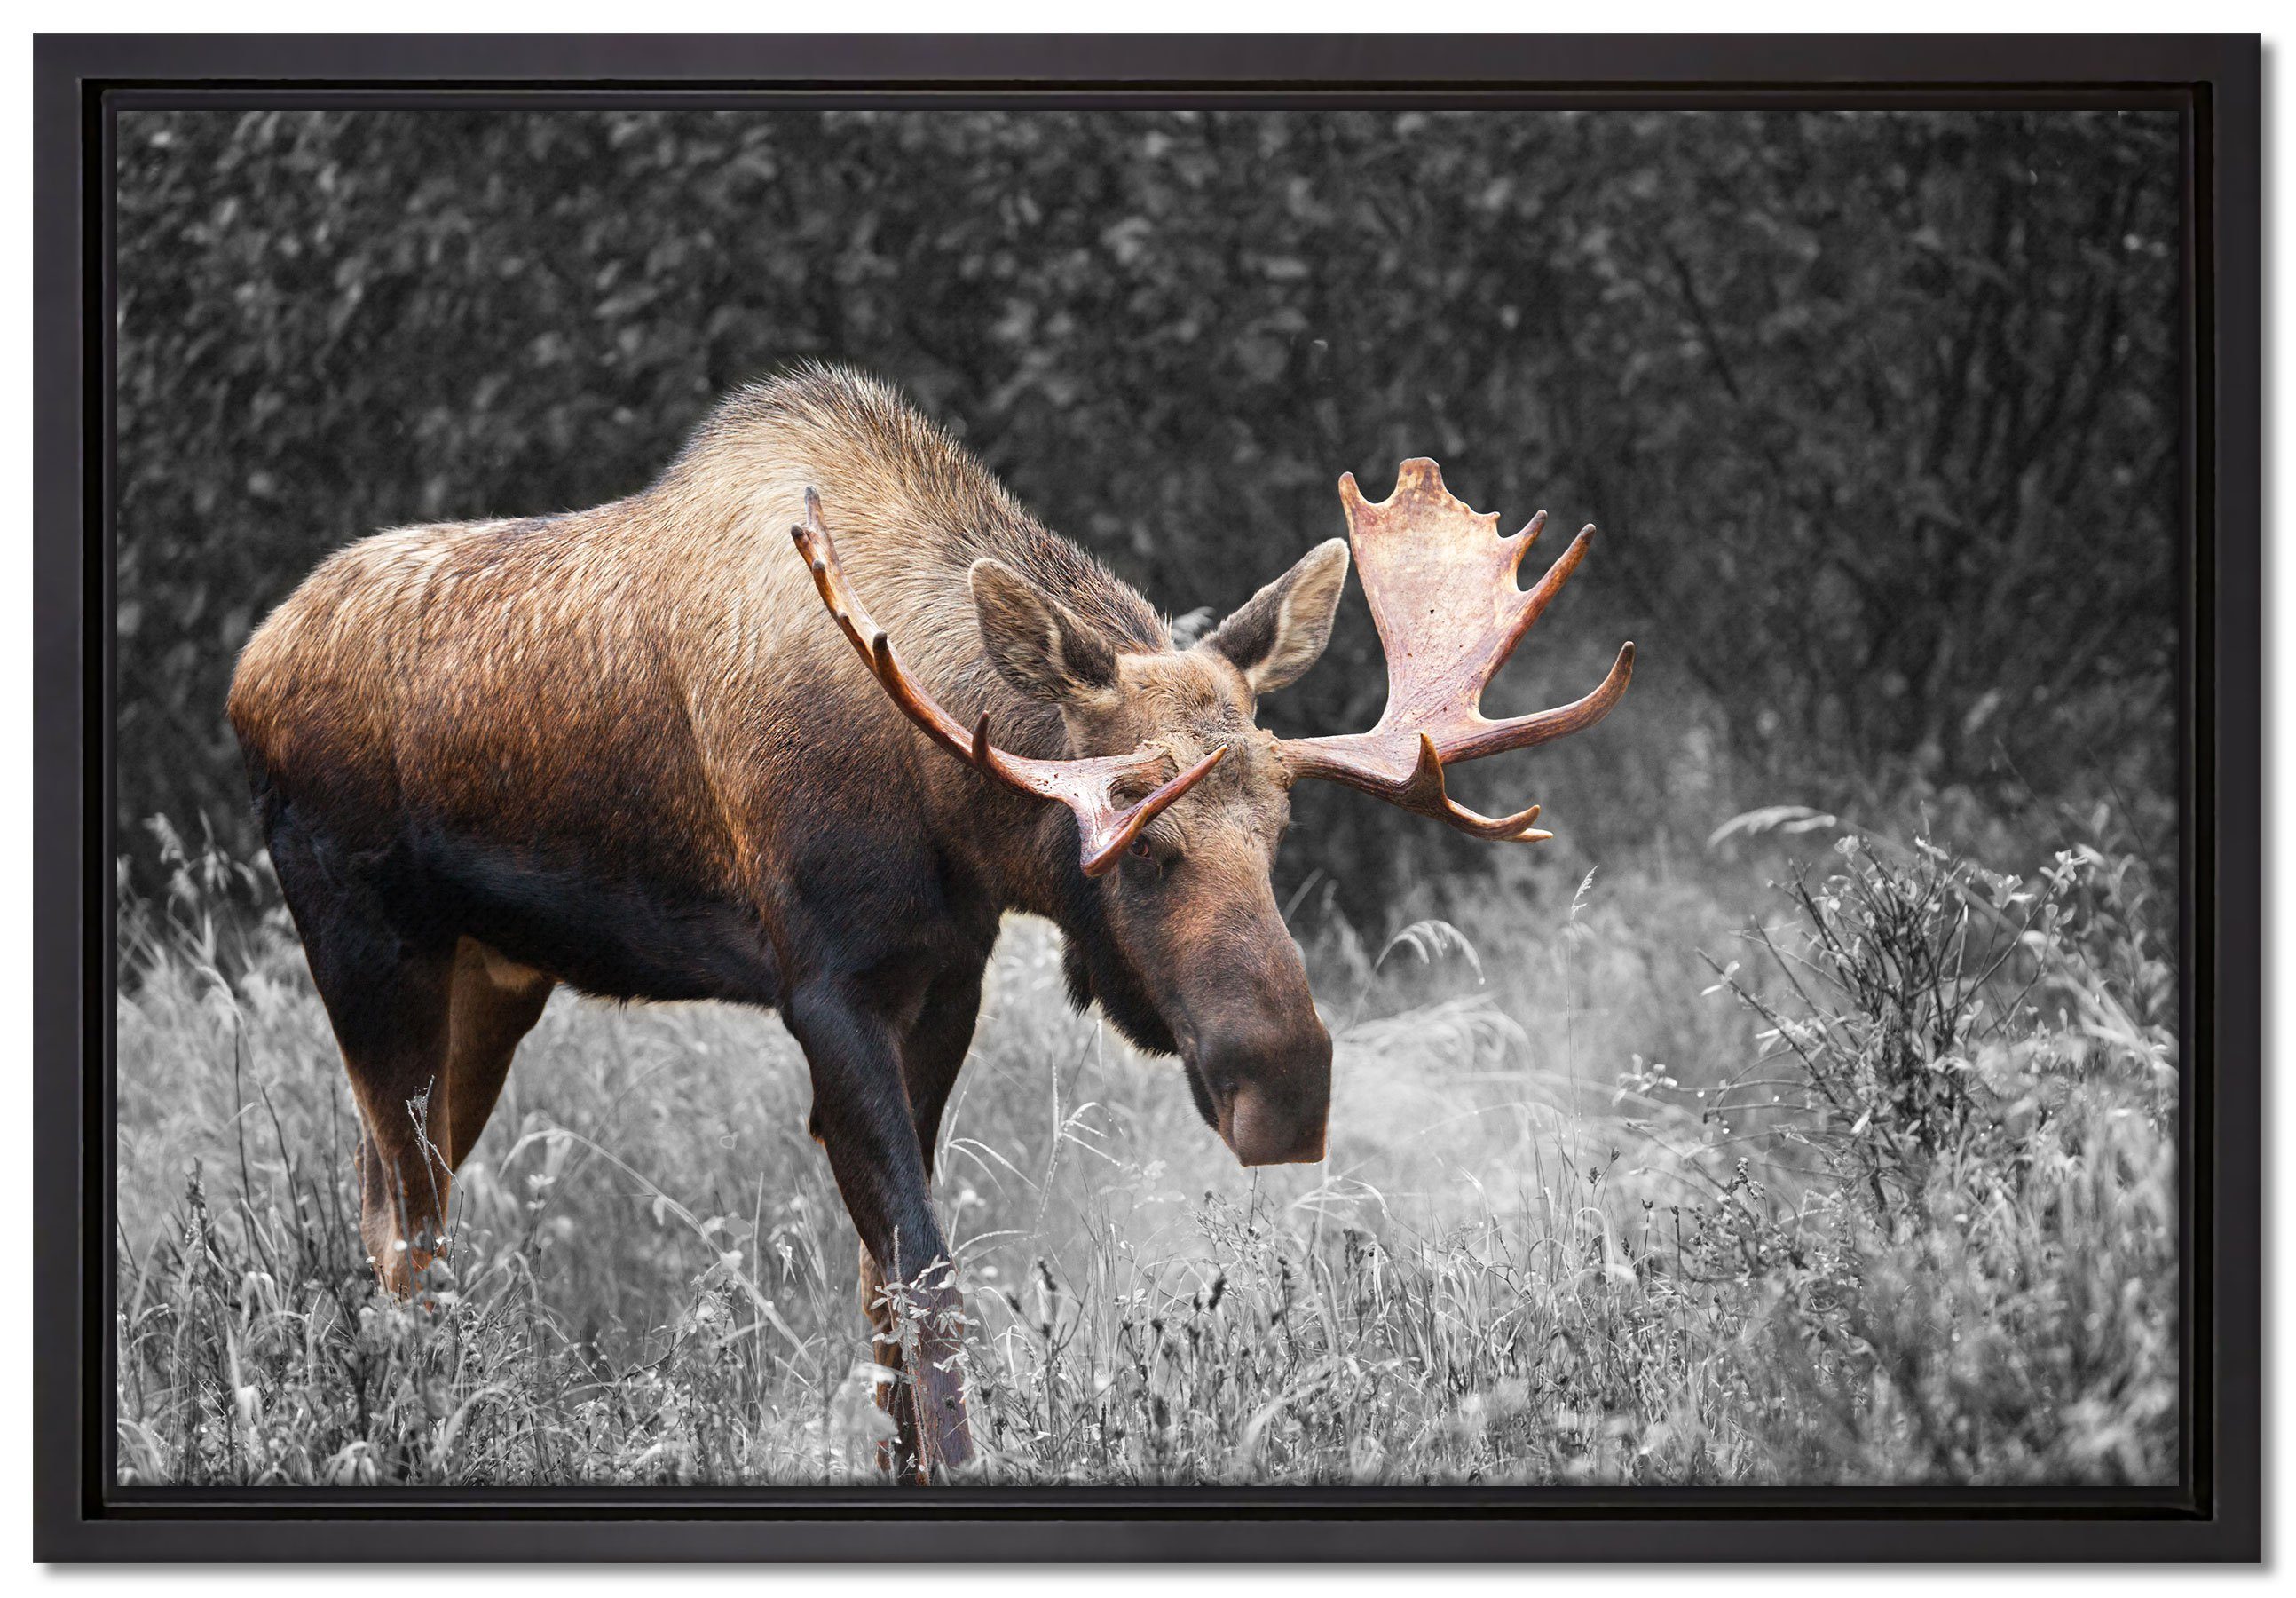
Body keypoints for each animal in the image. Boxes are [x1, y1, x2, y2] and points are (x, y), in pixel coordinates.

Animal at [228, 365, 1634, 1487]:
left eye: (1278, 827)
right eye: (1138, 840)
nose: (1285, 1085)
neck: (942, 797)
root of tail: (248, 669)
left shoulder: (943, 977)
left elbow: (878, 1286)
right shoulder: (822, 987)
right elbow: (924, 1267)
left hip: (493, 978)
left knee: (400, 1199)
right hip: (366, 947)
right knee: (405, 1221)